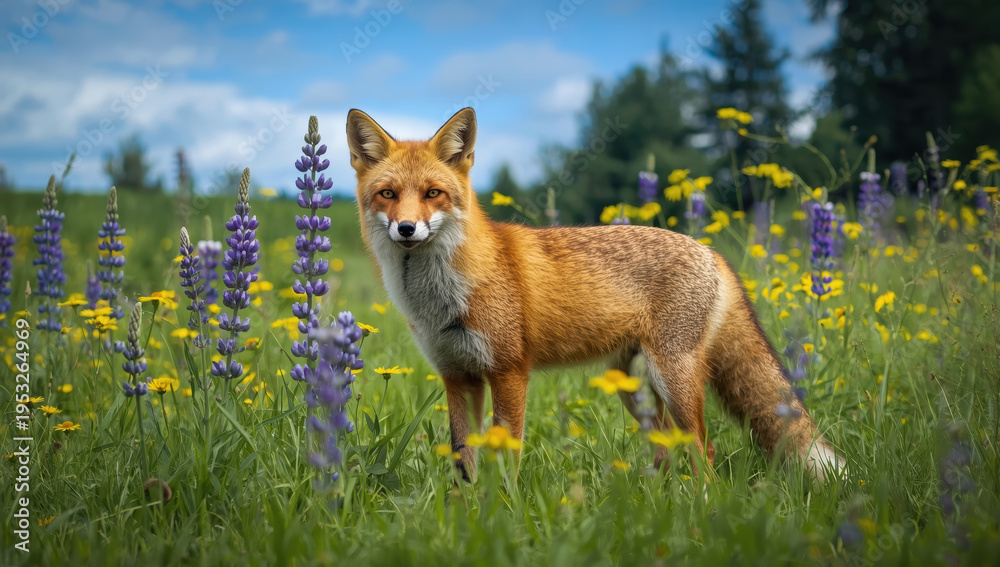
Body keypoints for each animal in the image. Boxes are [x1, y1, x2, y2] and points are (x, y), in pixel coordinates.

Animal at [346, 107, 843, 482]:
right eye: (388, 194)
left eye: (433, 193)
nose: (406, 228)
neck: (441, 297)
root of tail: (713, 252)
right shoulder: (457, 376)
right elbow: (463, 463)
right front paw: (466, 516)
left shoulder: (509, 372)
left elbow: (507, 457)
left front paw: (503, 511)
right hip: (636, 389)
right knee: (667, 452)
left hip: (674, 380)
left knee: (705, 453)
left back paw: (703, 511)